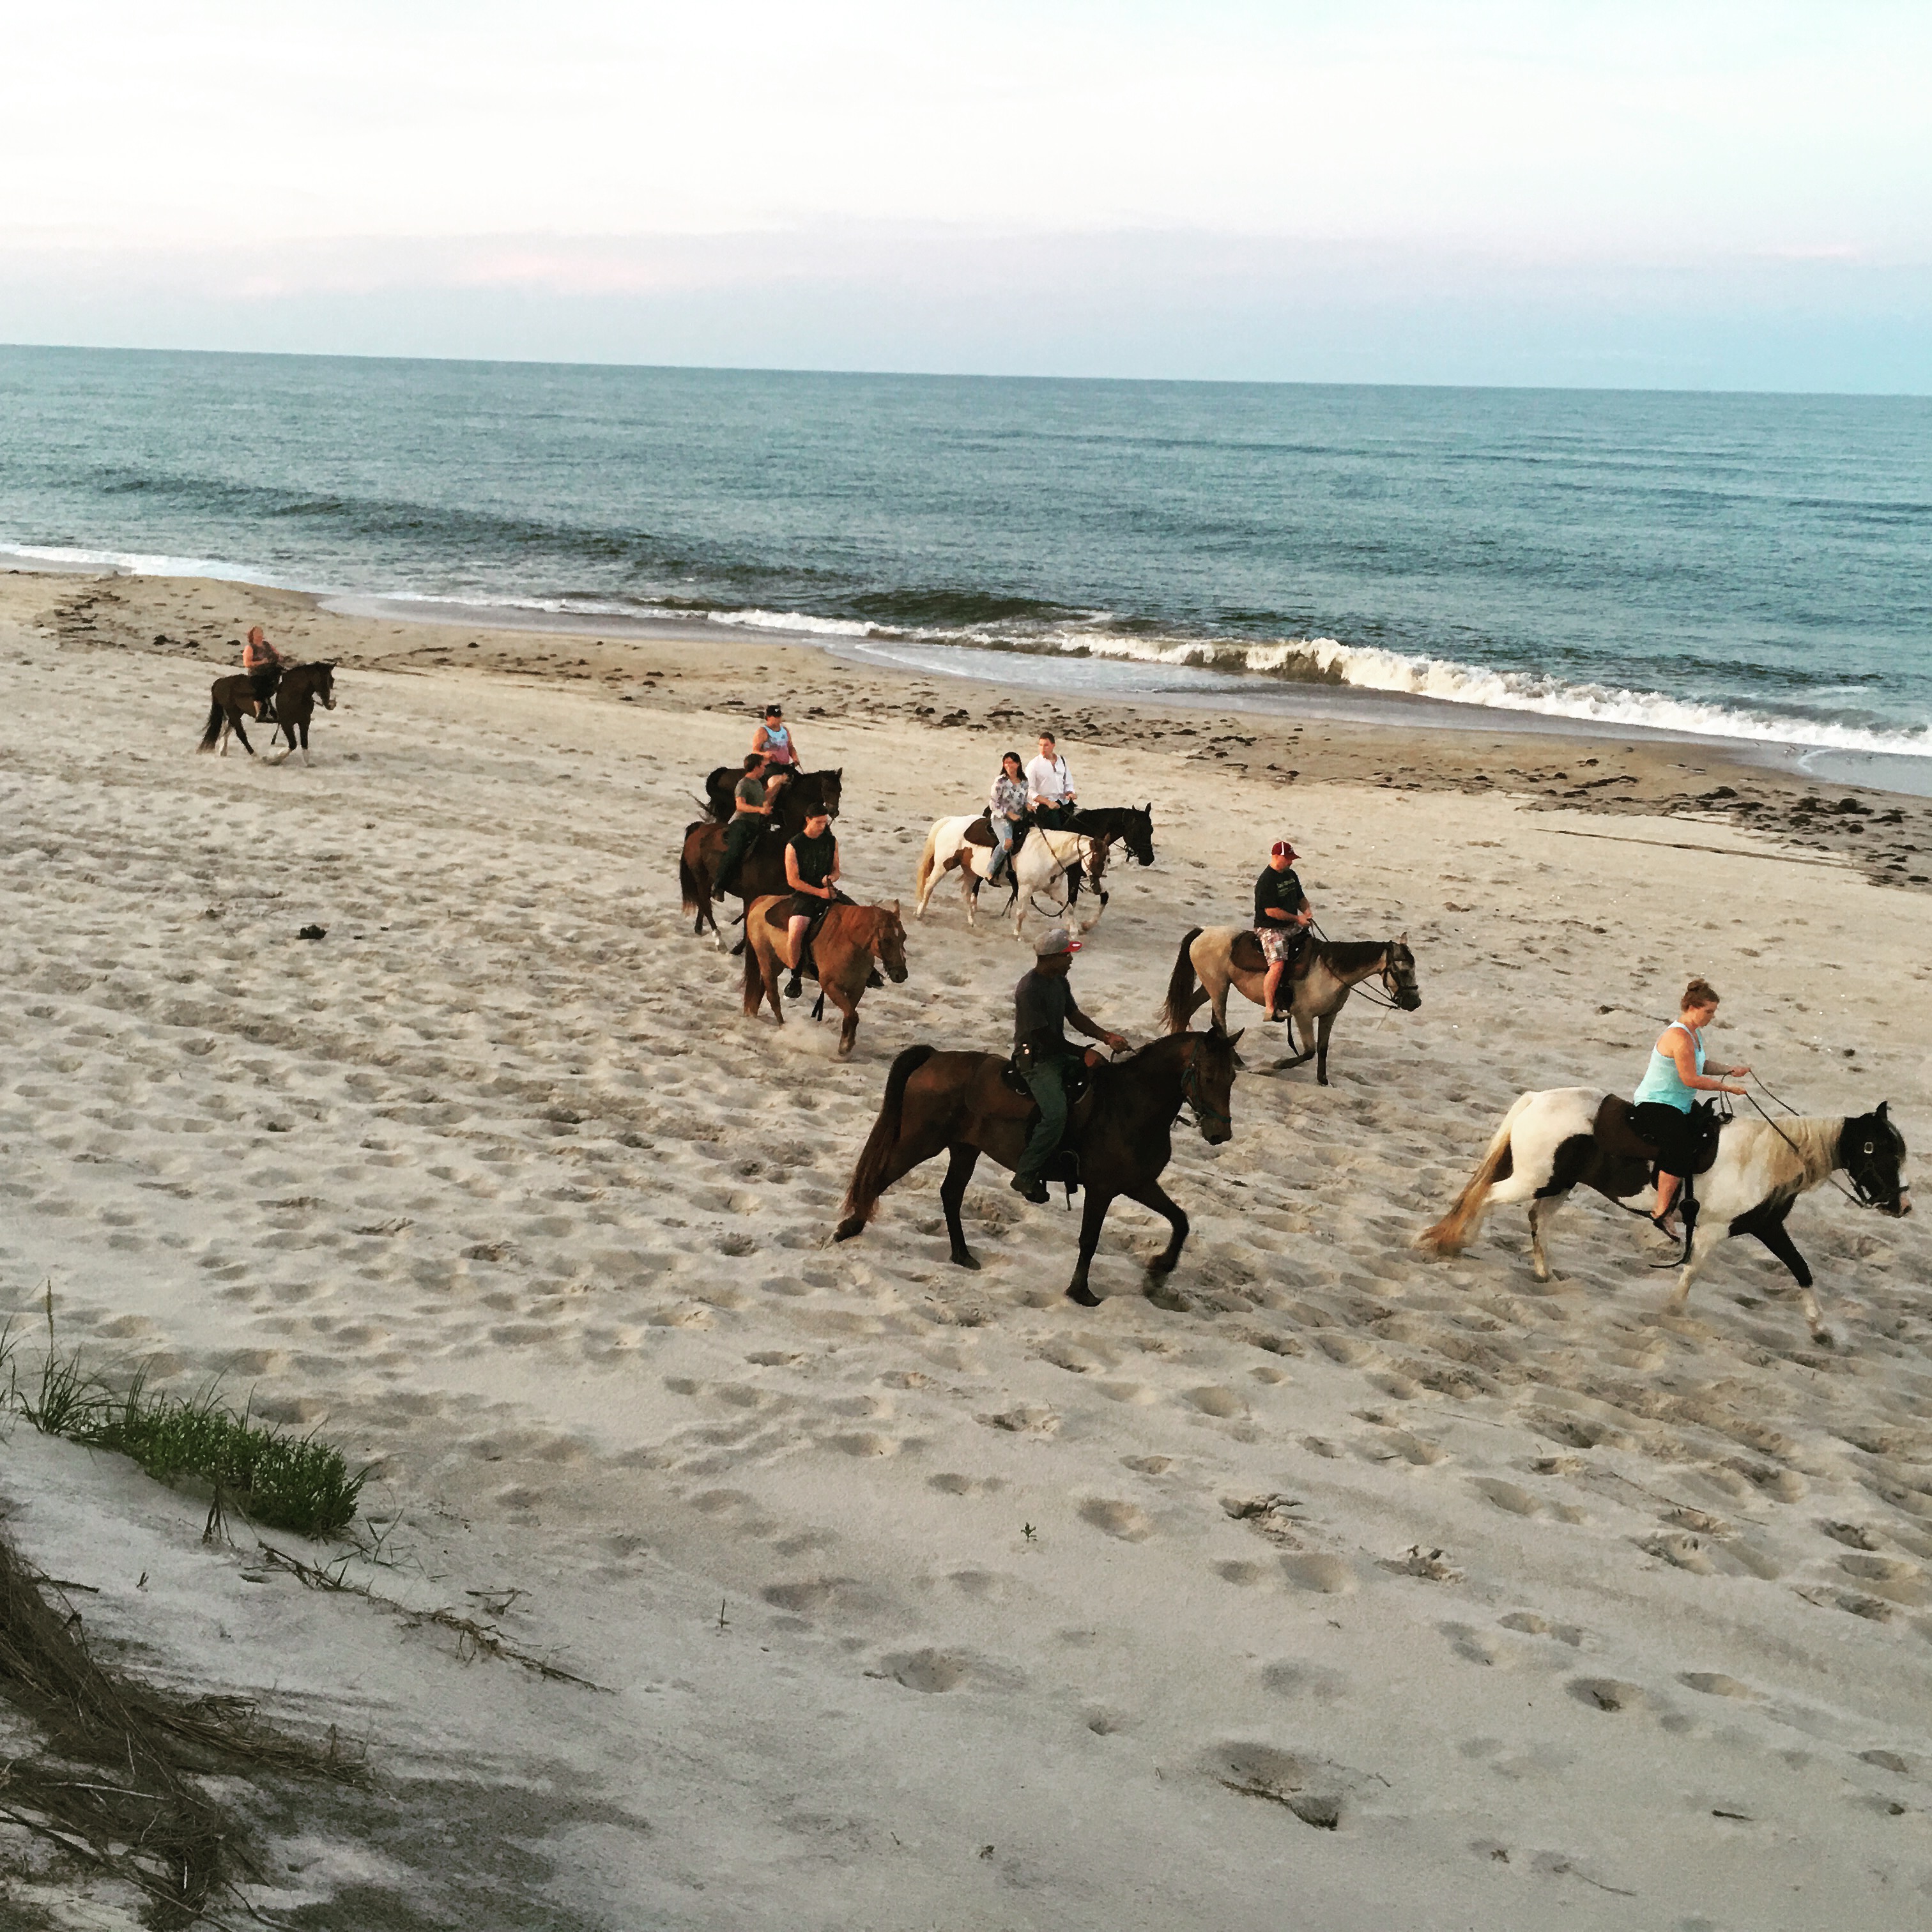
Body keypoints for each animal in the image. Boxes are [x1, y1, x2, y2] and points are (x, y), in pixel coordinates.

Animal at [197, 661, 338, 757]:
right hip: (233, 712)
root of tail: (220, 682)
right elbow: (293, 744)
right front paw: (275, 759)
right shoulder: (286, 723)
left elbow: (304, 744)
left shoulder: (304, 721)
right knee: (241, 734)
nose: (331, 704)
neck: (293, 693)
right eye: (323, 680)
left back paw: (223, 750)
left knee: (227, 729)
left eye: (332, 680)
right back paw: (256, 757)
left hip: (237, 712)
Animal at [746, 889, 912, 1059]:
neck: (849, 940)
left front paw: (844, 1045)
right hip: (766, 960)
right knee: (773, 997)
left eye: (904, 937)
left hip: (778, 963)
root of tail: (762, 901)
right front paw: (846, 1046)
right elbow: (852, 1015)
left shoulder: (857, 987)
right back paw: (784, 1028)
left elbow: (849, 1015)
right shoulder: (831, 986)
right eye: (886, 939)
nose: (901, 974)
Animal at [838, 1027, 1244, 1314]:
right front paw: (1080, 1292)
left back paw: (962, 1255)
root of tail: (935, 1058)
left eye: (1232, 1079)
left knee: (950, 1194)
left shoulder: (1139, 1183)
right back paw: (849, 1227)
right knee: (880, 1177)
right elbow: (1089, 1239)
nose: (1220, 1134)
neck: (1132, 1103)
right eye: (1208, 1075)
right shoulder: (1103, 1188)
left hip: (965, 1149)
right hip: (919, 1142)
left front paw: (1158, 1274)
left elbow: (1180, 1221)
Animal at [1159, 923, 1422, 1082]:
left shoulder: (1329, 1016)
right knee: (1218, 1021)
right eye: (1404, 971)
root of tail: (1204, 931)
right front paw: (1269, 1067)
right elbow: (1309, 1051)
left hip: (1210, 985)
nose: (1415, 1003)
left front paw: (1323, 1082)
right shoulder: (1302, 1016)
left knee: (1188, 1008)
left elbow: (1323, 1049)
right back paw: (1238, 1062)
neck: (1328, 971)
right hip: (1219, 987)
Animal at [1414, 1089, 1908, 1344]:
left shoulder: (1768, 1227)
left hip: (1557, 1185)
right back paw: (1456, 1242)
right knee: (1489, 1197)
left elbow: (1802, 1270)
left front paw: (1821, 1329)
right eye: (1878, 1150)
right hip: (1534, 1178)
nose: (1901, 1206)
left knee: (1538, 1217)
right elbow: (1692, 1271)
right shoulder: (1713, 1229)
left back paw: (1543, 1272)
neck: (1766, 1158)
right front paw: (1671, 1310)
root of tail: (1538, 1100)